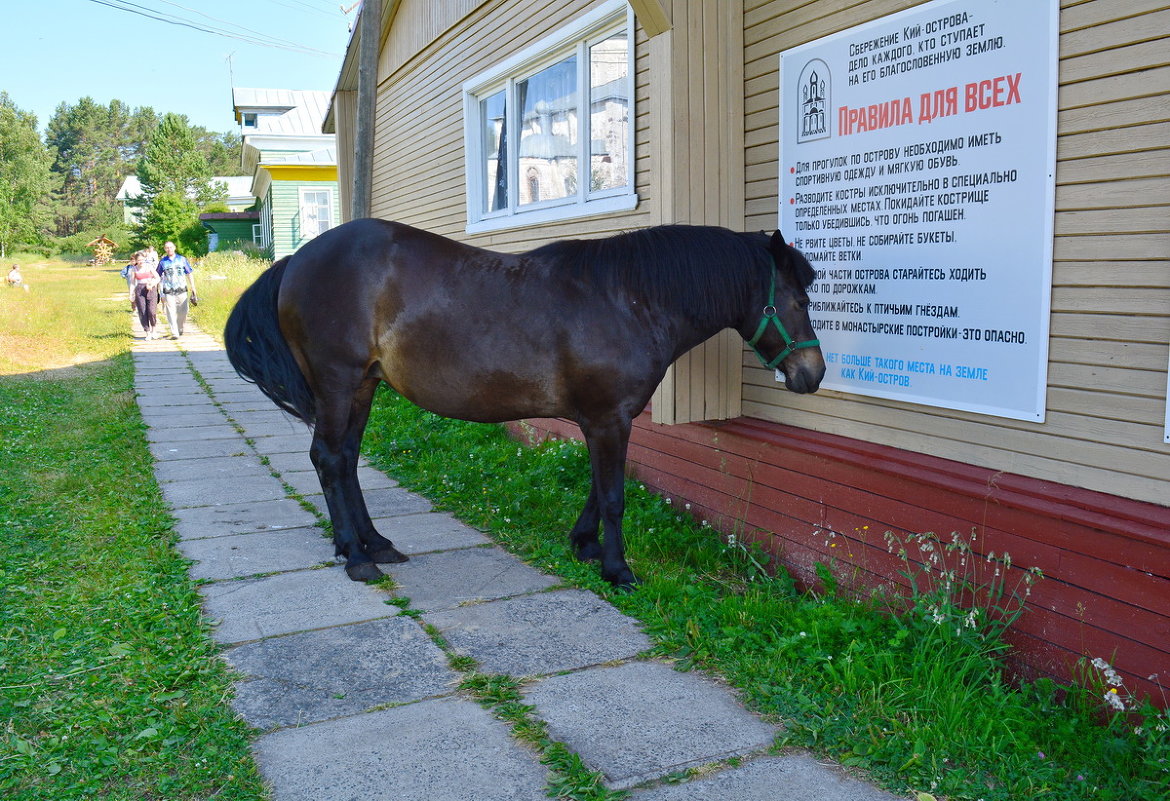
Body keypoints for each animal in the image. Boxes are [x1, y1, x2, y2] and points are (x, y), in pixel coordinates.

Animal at [221, 218, 823, 587]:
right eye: (797, 299)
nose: (812, 374)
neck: (627, 299)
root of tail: (296, 259)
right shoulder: (608, 418)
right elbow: (614, 496)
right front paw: (617, 569)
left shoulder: (605, 419)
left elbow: (597, 486)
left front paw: (583, 545)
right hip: (338, 383)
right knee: (328, 459)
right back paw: (356, 558)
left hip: (363, 386)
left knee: (345, 460)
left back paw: (375, 544)